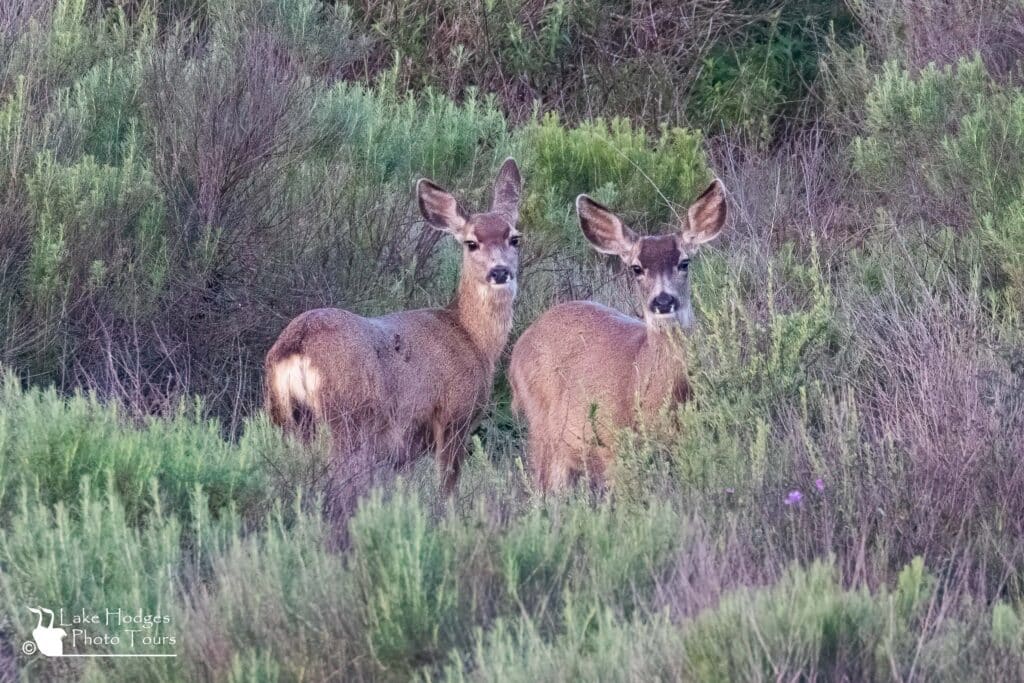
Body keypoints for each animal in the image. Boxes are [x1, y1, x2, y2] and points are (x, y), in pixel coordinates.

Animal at [266, 158, 520, 497]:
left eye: (515, 238)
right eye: (471, 243)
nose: (500, 271)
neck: (471, 337)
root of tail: (297, 344)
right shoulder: (455, 414)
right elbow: (447, 484)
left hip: (282, 415)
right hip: (346, 419)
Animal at [507, 180, 724, 491]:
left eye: (685, 262)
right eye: (636, 268)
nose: (663, 301)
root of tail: (517, 351)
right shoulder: (613, 450)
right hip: (544, 428)